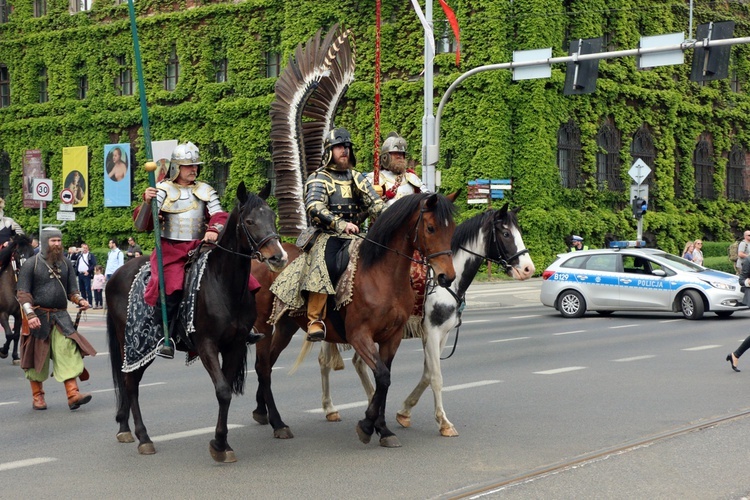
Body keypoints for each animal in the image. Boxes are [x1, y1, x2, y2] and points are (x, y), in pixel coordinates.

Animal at [0, 234, 35, 364]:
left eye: (32, 252)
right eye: (18, 252)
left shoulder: (19, 315)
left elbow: (15, 335)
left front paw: (15, 356)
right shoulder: (2, 313)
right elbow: (9, 334)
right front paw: (3, 351)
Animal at [107, 182, 290, 462]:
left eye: (272, 217)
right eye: (250, 221)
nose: (278, 257)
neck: (223, 283)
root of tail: (114, 276)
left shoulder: (235, 344)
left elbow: (226, 391)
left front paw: (222, 443)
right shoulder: (206, 345)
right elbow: (223, 390)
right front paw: (219, 443)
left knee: (128, 383)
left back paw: (125, 428)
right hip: (132, 343)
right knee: (131, 384)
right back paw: (143, 437)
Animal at [253, 192, 458, 450]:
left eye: (452, 229)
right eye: (430, 228)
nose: (447, 276)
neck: (381, 275)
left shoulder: (392, 338)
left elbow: (384, 380)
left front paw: (383, 429)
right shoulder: (359, 336)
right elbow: (382, 377)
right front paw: (368, 426)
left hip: (285, 327)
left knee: (266, 366)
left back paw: (263, 413)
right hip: (264, 326)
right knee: (263, 366)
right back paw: (278, 422)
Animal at [320, 205, 536, 436]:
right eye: (506, 233)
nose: (528, 269)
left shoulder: (443, 334)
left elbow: (427, 373)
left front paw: (404, 412)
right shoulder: (432, 331)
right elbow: (436, 377)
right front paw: (444, 422)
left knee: (357, 363)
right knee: (325, 362)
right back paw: (331, 408)